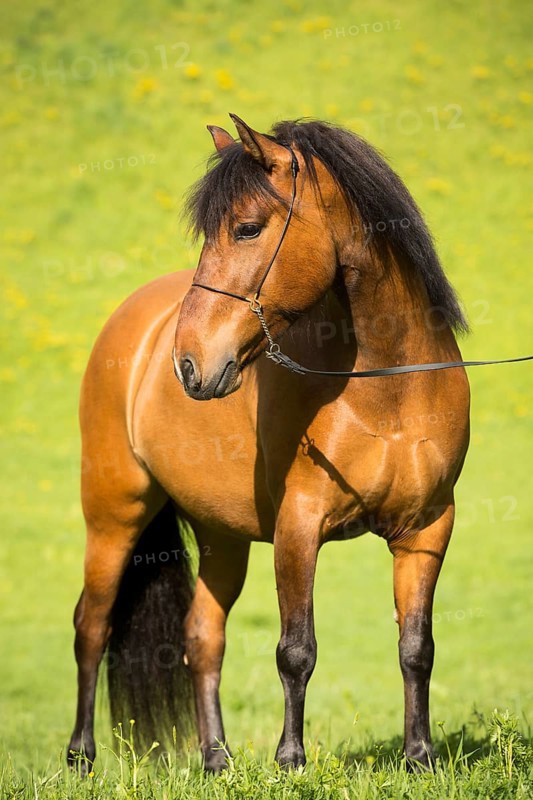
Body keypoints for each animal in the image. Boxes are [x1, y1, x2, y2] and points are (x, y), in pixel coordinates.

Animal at [67, 115, 470, 774]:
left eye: (249, 227)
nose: (189, 364)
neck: (388, 389)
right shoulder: (298, 526)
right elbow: (296, 650)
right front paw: (291, 760)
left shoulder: (428, 528)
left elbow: (417, 646)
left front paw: (419, 757)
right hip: (113, 515)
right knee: (92, 627)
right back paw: (81, 755)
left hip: (221, 535)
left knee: (202, 636)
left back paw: (216, 760)